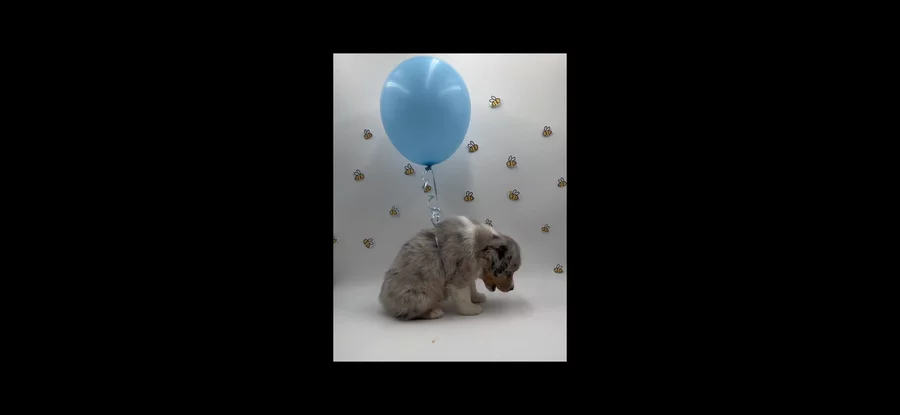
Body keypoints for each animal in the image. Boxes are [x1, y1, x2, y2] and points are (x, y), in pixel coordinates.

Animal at [378, 216, 522, 320]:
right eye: (508, 272)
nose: (512, 288)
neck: (478, 246)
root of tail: (384, 302)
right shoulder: (458, 275)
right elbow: (464, 295)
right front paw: (471, 310)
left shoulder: (468, 272)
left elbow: (472, 287)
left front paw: (477, 298)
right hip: (423, 296)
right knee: (409, 314)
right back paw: (434, 312)